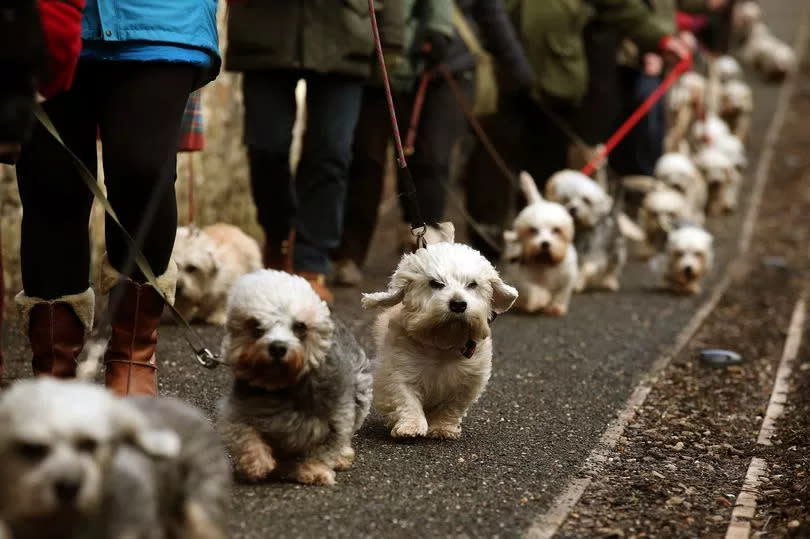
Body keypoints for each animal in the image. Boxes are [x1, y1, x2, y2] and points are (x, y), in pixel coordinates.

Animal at [216, 272, 370, 488]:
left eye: (300, 326)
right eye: (256, 326)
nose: (278, 347)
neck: (283, 386)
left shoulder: (335, 418)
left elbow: (324, 450)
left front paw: (314, 471)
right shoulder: (237, 413)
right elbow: (246, 436)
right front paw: (257, 463)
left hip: (361, 394)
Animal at [362, 243, 516, 440]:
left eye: (472, 284)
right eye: (436, 283)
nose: (458, 304)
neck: (442, 345)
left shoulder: (468, 382)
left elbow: (451, 408)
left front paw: (442, 428)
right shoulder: (398, 372)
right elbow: (406, 399)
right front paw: (411, 426)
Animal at [502, 173, 576, 316]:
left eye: (556, 230)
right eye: (533, 230)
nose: (545, 244)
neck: (545, 262)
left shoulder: (566, 277)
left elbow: (561, 293)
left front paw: (557, 306)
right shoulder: (521, 278)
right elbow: (533, 289)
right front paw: (540, 299)